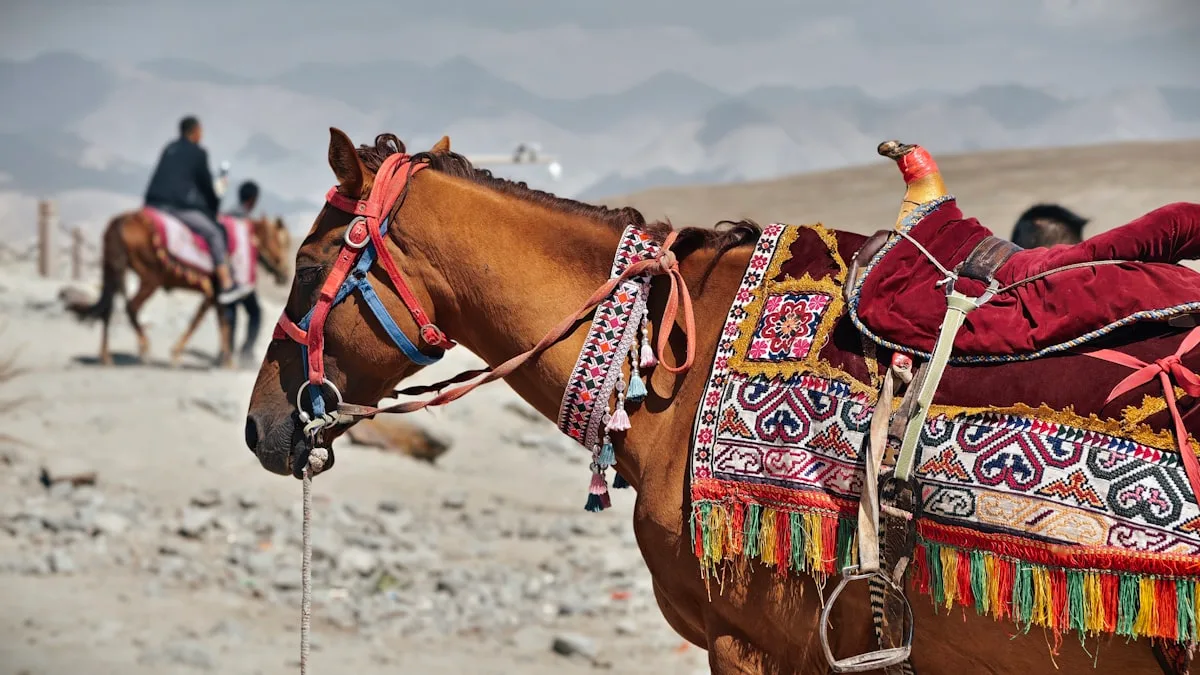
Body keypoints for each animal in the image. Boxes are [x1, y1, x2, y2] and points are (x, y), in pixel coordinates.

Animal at [67, 210, 291, 368]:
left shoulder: (215, 296)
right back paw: (144, 348)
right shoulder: (215, 293)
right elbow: (202, 321)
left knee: (108, 309)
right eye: (281, 241)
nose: (285, 274)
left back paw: (106, 356)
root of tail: (121, 221)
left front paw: (226, 361)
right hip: (150, 279)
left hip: (114, 272)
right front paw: (179, 354)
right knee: (131, 307)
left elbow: (220, 323)